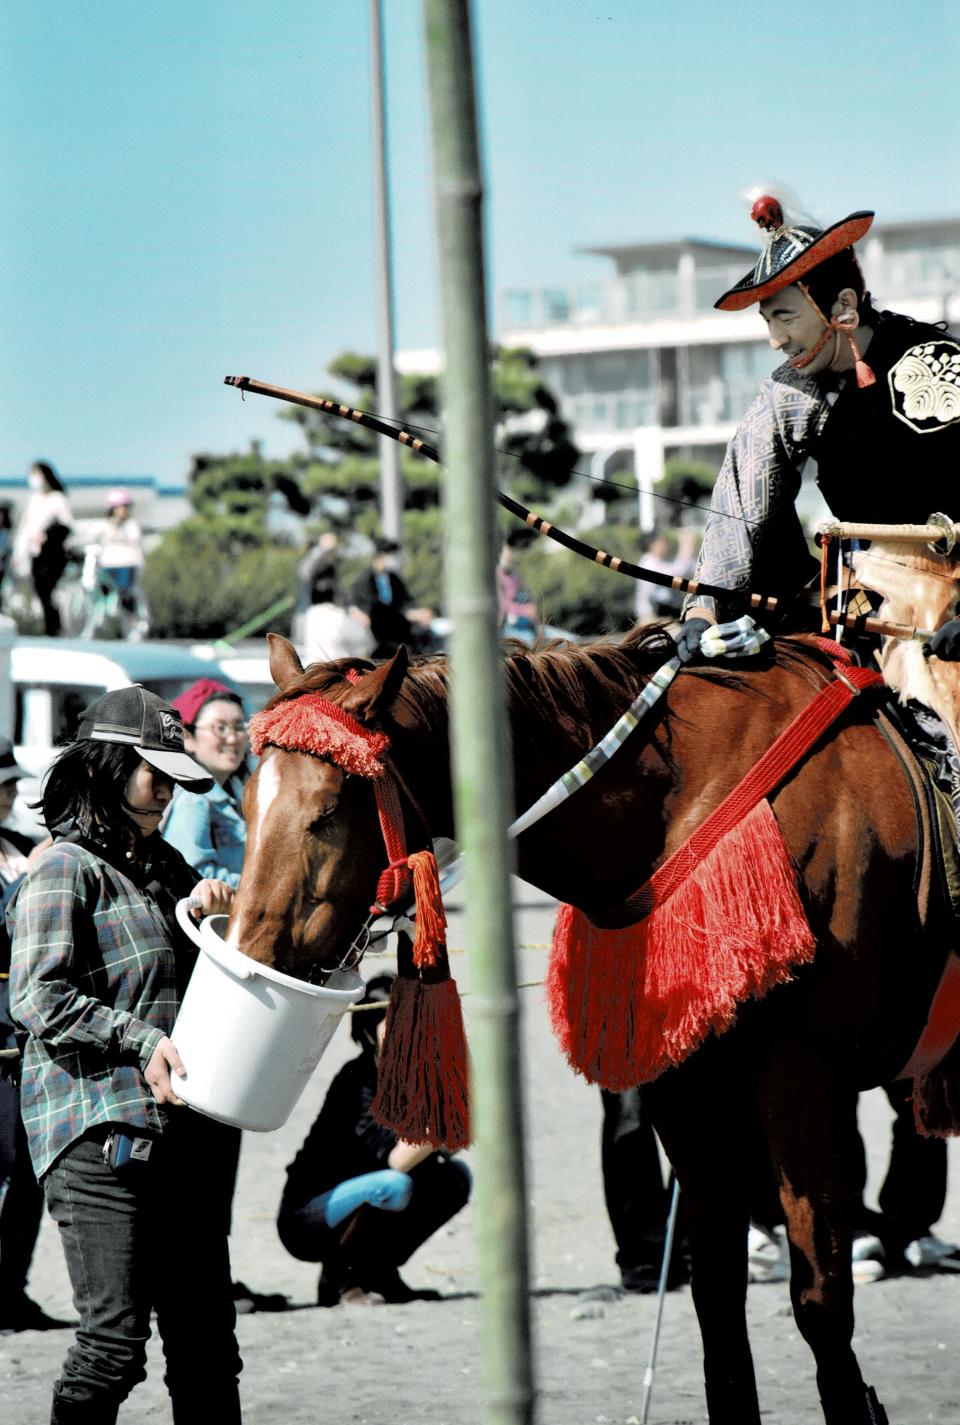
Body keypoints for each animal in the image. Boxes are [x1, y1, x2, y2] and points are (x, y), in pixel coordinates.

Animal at [226, 629, 951, 1425]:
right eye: (245, 802)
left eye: (325, 813)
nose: (253, 957)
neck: (697, 801)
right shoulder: (685, 1083)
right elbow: (716, 1298)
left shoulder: (806, 1080)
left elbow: (820, 1298)